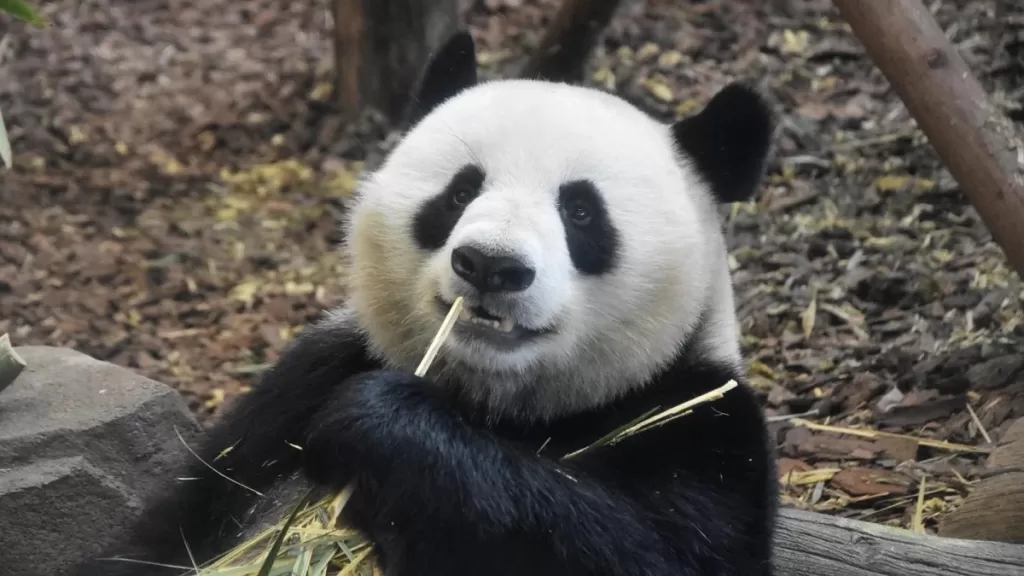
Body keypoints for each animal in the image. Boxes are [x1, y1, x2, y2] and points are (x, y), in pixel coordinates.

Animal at [76, 31, 777, 576]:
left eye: (581, 212)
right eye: (459, 192)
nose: (490, 265)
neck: (493, 404)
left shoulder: (698, 421)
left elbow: (635, 548)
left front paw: (380, 425)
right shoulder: (303, 383)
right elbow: (173, 530)